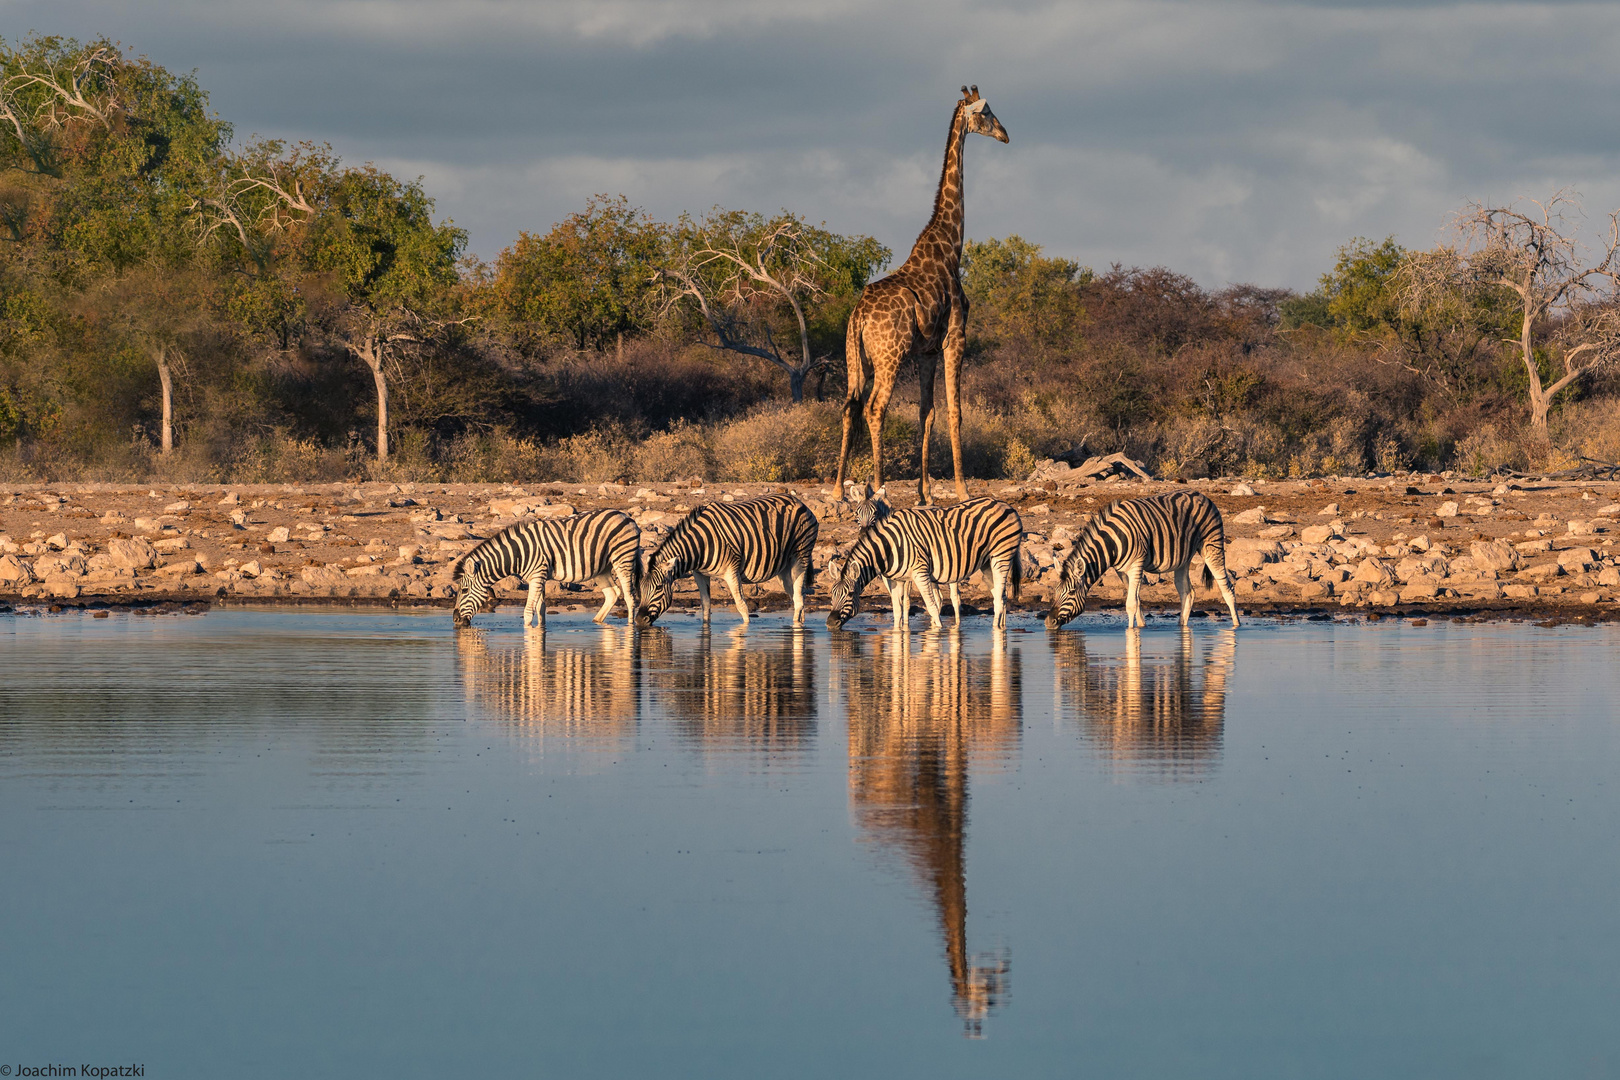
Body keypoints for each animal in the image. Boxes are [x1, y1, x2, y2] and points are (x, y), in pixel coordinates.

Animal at [453, 508, 641, 628]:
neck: (520, 553)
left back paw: (630, 628)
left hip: (623, 558)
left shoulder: (537, 576)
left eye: (464, 590)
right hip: (602, 567)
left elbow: (528, 612)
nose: (455, 620)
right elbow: (540, 609)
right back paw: (596, 622)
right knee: (613, 593)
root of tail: (625, 515)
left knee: (630, 597)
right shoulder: (538, 577)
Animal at [635, 495, 816, 628]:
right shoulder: (699, 573)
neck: (700, 545)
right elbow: (706, 606)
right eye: (640, 588)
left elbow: (742, 606)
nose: (638, 621)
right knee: (798, 598)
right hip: (784, 569)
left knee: (798, 599)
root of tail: (799, 502)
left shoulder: (731, 571)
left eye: (659, 587)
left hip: (800, 556)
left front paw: (745, 629)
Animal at [829, 498, 1017, 634]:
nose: (830, 623)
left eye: (850, 594)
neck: (889, 547)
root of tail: (1006, 504)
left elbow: (932, 607)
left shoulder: (920, 573)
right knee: (1001, 595)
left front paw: (937, 631)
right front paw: (897, 633)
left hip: (1001, 556)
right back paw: (1003, 627)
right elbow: (897, 610)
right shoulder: (896, 579)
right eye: (832, 594)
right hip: (987, 563)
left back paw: (996, 630)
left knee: (998, 597)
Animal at [842, 86, 1004, 505]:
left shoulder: (926, 351)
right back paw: (878, 486)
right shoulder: (955, 337)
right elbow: (955, 411)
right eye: (987, 113)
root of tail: (859, 315)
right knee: (875, 408)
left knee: (849, 407)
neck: (950, 246)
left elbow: (926, 412)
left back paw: (835, 489)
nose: (1005, 135)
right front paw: (962, 487)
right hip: (890, 355)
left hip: (856, 358)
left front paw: (925, 492)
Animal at [1036, 492, 1237, 634]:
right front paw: (1141, 627)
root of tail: (1202, 495)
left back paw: (1236, 626)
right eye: (1055, 591)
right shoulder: (1121, 570)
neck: (1112, 543)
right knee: (1187, 592)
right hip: (1183, 559)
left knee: (1226, 588)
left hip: (1212, 545)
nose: (1048, 622)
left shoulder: (1136, 565)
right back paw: (1182, 626)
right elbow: (1137, 600)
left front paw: (1131, 632)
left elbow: (1131, 603)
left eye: (1071, 592)